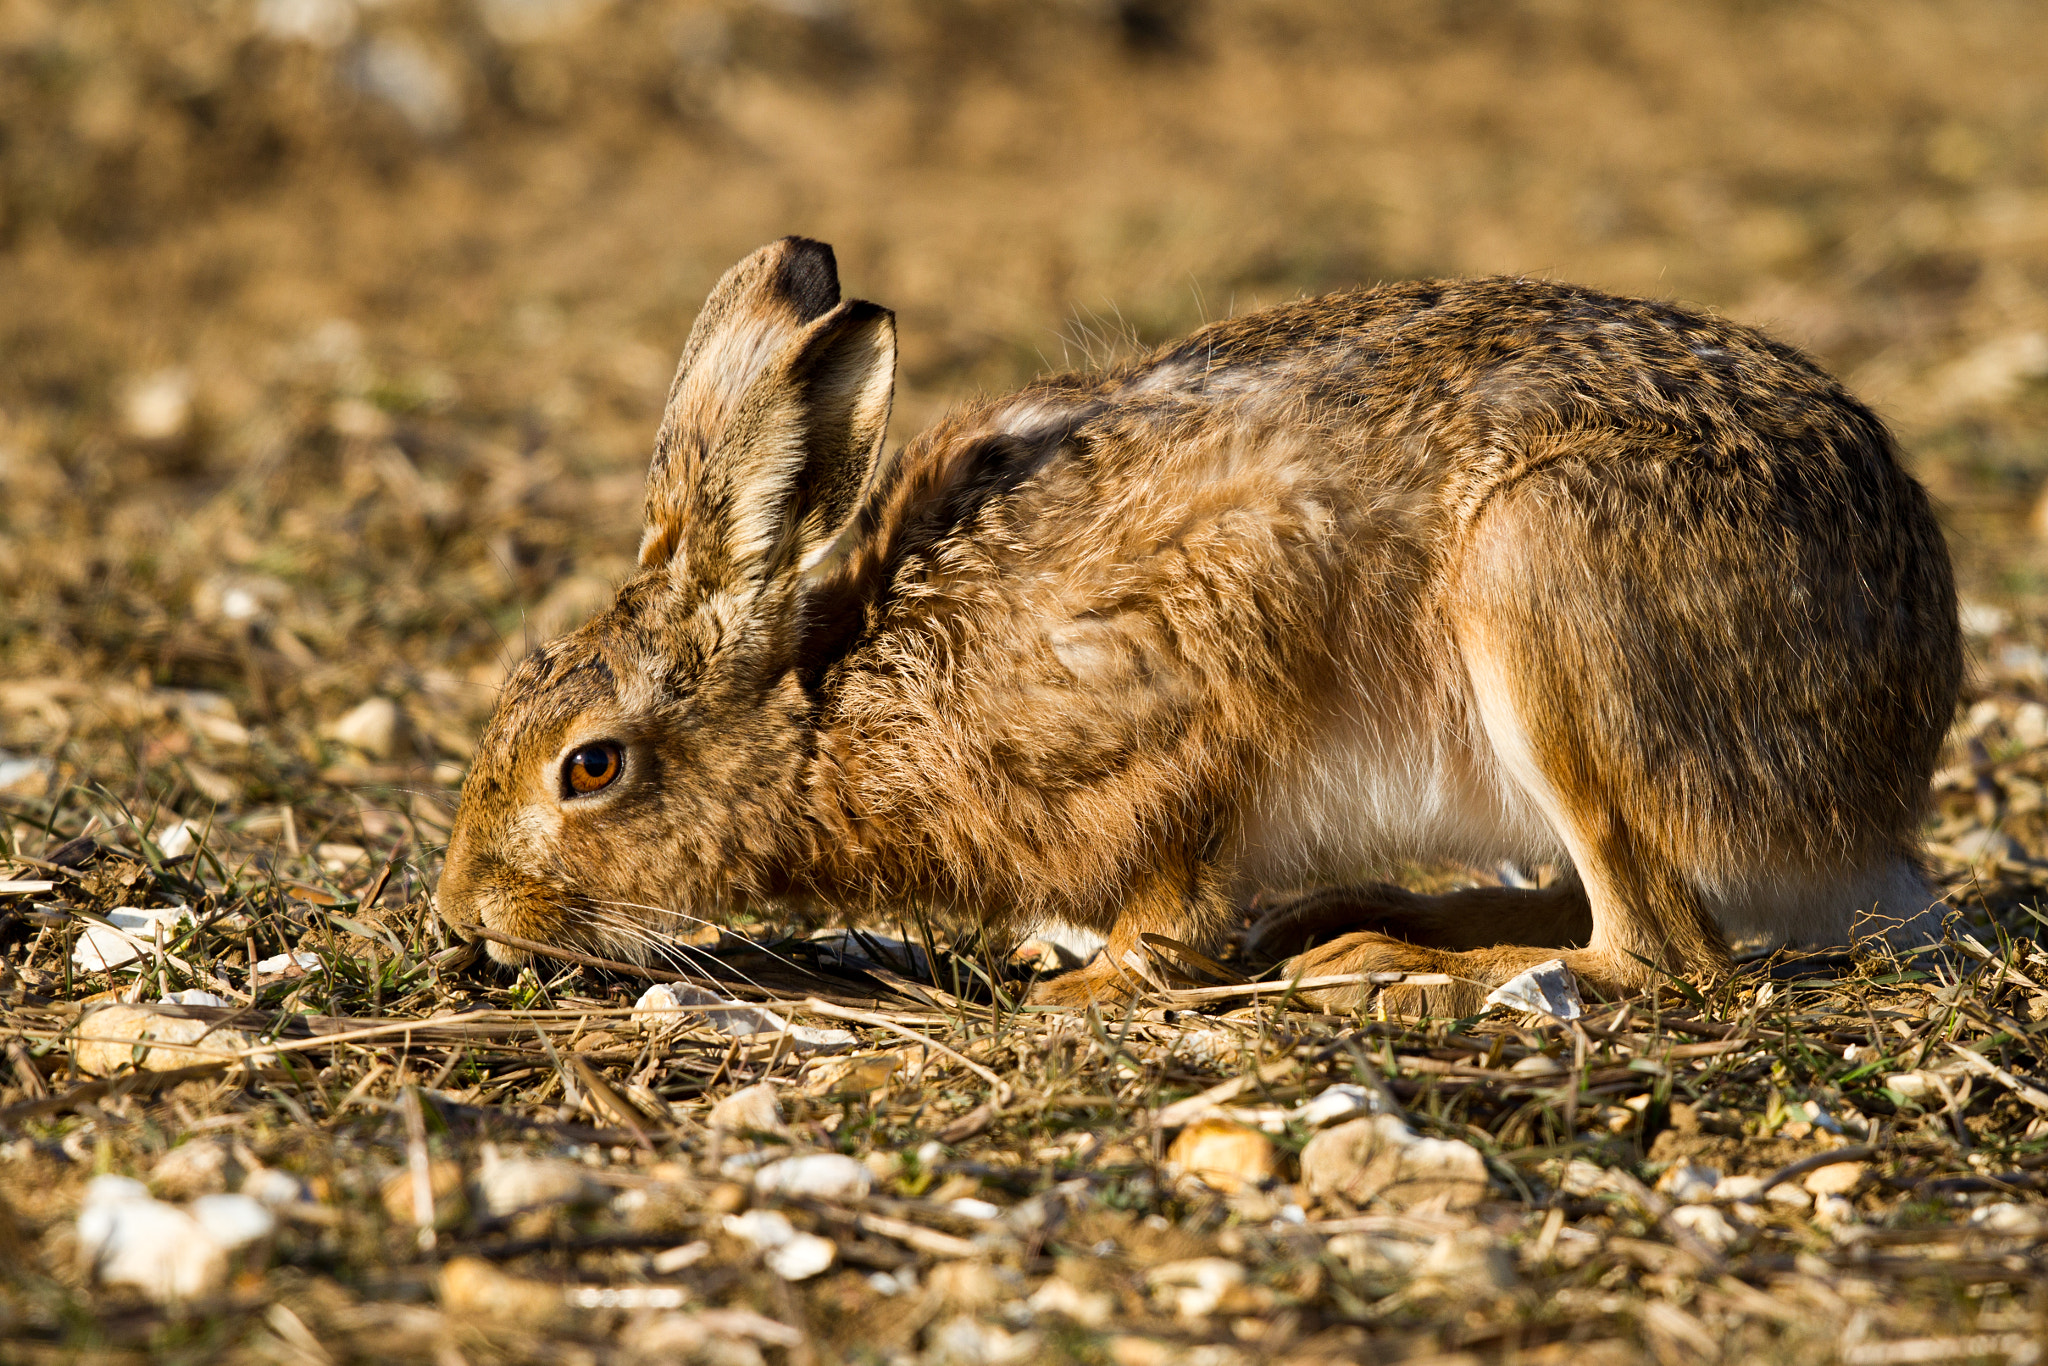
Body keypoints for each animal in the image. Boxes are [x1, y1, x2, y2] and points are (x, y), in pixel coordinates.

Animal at [434, 235, 1961, 1017]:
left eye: (590, 765)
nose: (460, 912)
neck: (840, 690)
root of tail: (1878, 785)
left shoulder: (1195, 706)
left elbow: (1173, 876)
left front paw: (1096, 982)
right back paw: (1366, 914)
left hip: (1548, 594)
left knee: (1653, 947)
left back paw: (1379, 966)